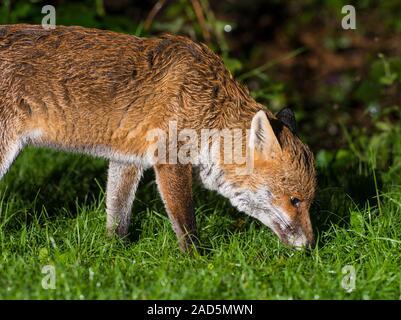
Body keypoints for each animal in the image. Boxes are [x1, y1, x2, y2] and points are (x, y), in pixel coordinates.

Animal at [0, 24, 316, 250]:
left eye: (308, 201)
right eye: (295, 200)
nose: (313, 247)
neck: (211, 107)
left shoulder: (127, 159)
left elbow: (118, 216)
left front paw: (115, 252)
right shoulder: (170, 160)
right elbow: (186, 225)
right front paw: (197, 262)